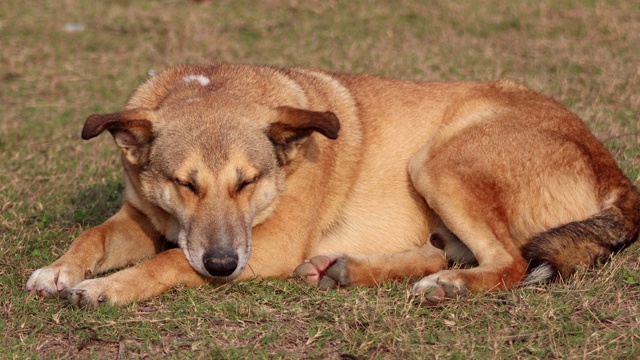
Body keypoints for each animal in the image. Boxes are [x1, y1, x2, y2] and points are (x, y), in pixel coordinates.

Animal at [26, 64, 640, 306]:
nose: (222, 265)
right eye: (184, 184)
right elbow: (93, 236)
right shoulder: (140, 216)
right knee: (450, 250)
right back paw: (347, 268)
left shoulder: (266, 247)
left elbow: (169, 260)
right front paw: (59, 270)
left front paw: (107, 288)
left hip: (436, 162)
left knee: (508, 260)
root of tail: (613, 171)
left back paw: (447, 287)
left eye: (247, 183)